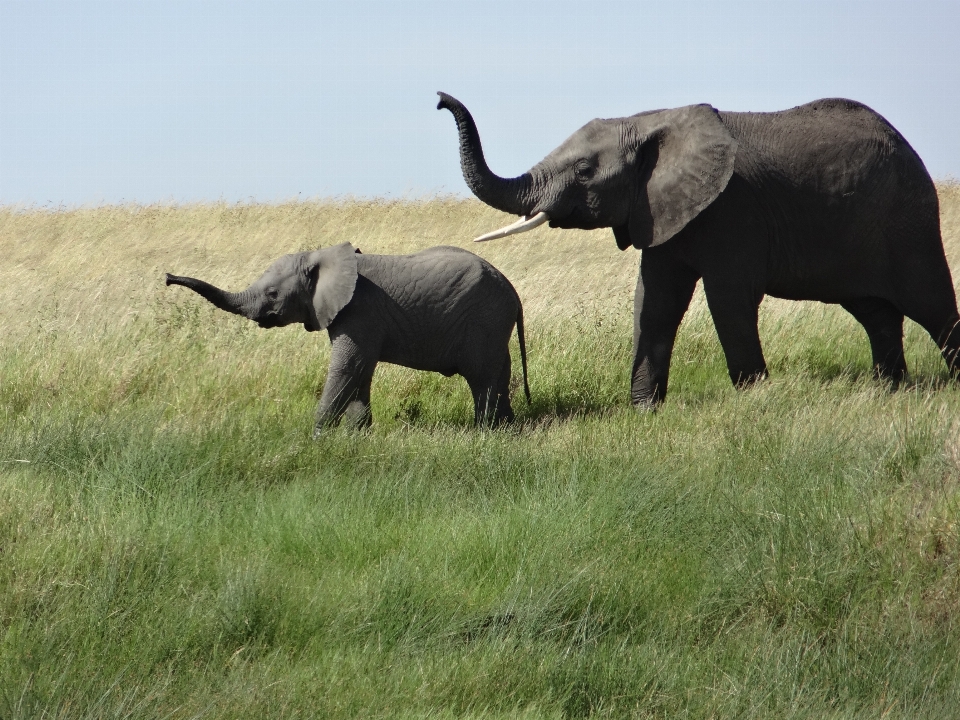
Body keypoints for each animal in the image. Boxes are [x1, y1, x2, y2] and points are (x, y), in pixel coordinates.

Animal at [162, 243, 528, 434]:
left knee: (481, 377)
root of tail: (512, 291)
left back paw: (486, 432)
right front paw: (358, 435)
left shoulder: (359, 311)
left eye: (272, 293)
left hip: (484, 320)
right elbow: (360, 371)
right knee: (500, 372)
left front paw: (317, 438)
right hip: (494, 325)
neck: (321, 256)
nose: (166, 277)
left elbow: (347, 367)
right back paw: (507, 429)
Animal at [438, 91, 960, 404]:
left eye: (585, 171)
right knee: (876, 314)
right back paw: (889, 392)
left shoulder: (733, 209)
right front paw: (643, 410)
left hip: (909, 217)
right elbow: (654, 301)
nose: (441, 99)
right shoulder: (658, 208)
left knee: (932, 304)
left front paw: (754, 400)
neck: (650, 122)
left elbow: (727, 299)